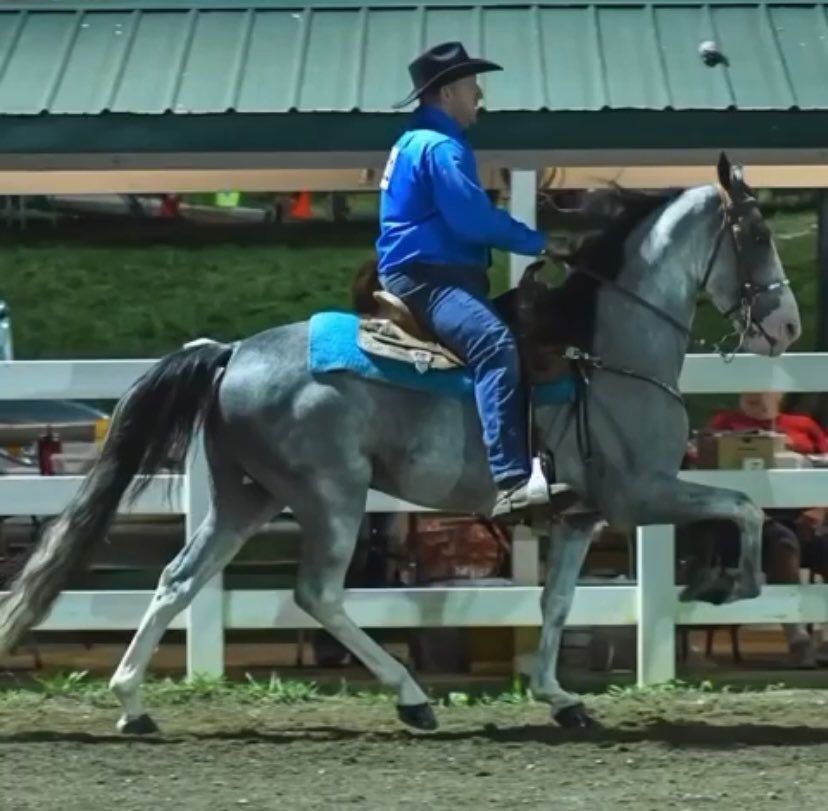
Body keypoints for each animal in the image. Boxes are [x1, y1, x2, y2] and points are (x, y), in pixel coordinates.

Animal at [0, 153, 801, 734]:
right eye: (757, 235)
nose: (788, 325)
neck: (604, 350)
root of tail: (229, 353)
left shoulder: (581, 515)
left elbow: (555, 604)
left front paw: (560, 696)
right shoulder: (640, 496)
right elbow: (744, 506)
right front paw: (728, 584)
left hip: (243, 498)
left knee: (179, 578)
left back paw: (133, 703)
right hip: (332, 497)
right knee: (317, 593)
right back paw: (412, 696)